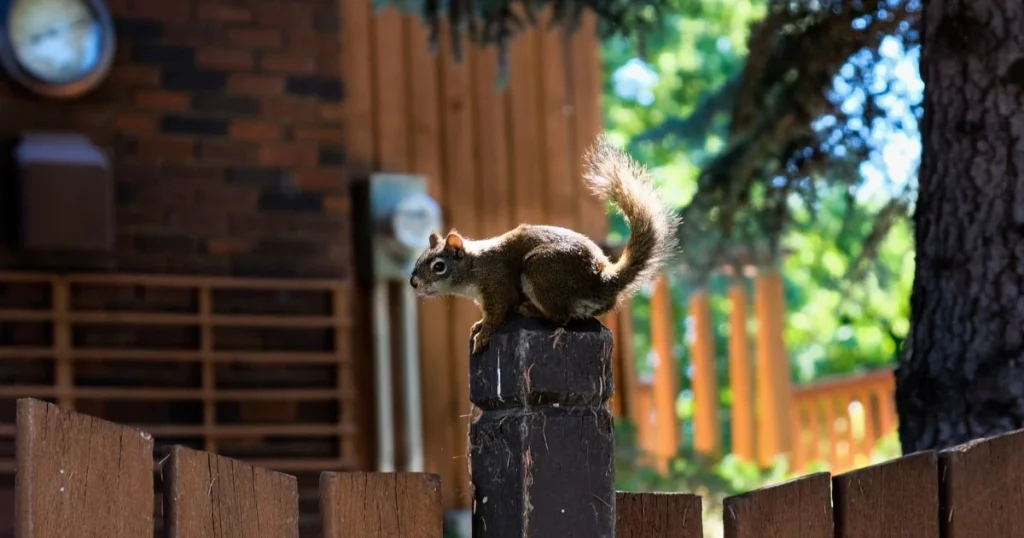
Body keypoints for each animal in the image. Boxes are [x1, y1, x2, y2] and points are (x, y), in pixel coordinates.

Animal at [407, 134, 679, 354]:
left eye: (439, 266)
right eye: (419, 260)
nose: (414, 282)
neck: (474, 266)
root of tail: (601, 280)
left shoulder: (497, 285)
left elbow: (497, 314)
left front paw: (483, 335)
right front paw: (479, 324)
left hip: (540, 270)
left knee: (559, 317)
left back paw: (531, 310)